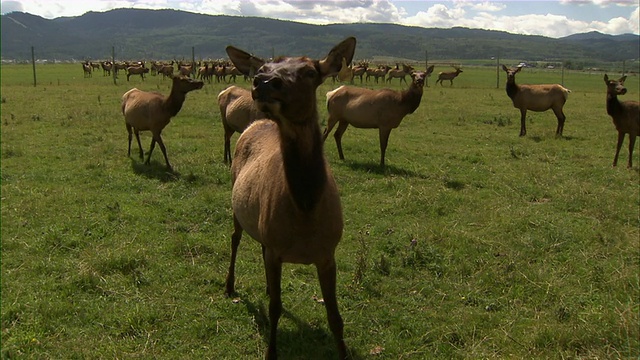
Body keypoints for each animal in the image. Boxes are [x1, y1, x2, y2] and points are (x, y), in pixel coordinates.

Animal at [224, 35, 356, 358]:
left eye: (310, 71)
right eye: (264, 68)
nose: (264, 82)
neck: (305, 211)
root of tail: (256, 124)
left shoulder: (328, 252)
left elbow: (335, 316)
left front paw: (343, 350)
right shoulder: (276, 248)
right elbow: (275, 309)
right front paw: (271, 351)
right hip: (235, 201)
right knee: (234, 240)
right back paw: (229, 285)